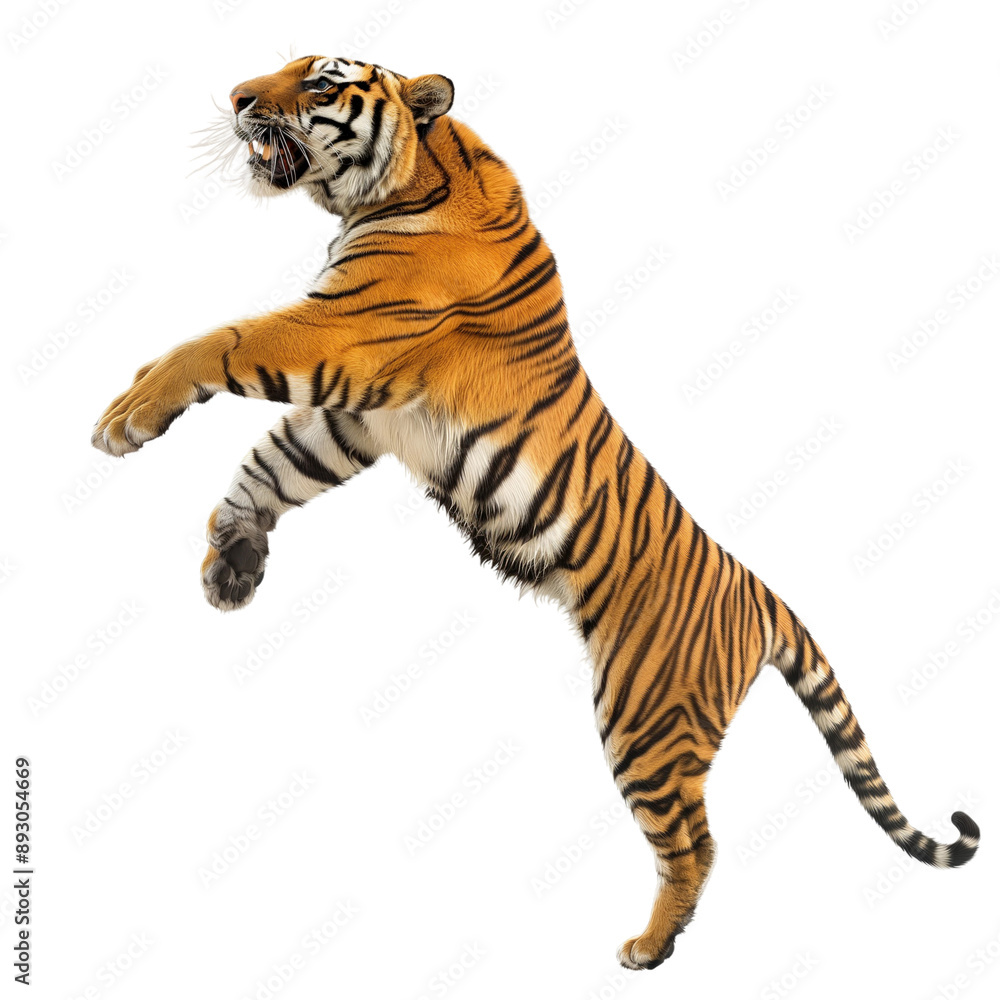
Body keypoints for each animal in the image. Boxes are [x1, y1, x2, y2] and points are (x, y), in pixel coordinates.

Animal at [91, 55, 980, 970]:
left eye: (321, 83)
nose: (237, 99)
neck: (404, 183)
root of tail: (761, 595)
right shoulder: (360, 416)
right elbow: (271, 466)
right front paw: (232, 565)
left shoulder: (339, 335)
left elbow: (221, 340)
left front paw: (126, 417)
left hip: (645, 718)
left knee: (694, 842)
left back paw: (648, 947)